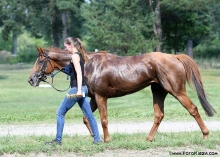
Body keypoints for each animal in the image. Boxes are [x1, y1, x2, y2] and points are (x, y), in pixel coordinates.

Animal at [28, 46, 216, 142]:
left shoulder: (101, 97)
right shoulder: (94, 98)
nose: (31, 79)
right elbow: (86, 119)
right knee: (159, 115)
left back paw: (205, 135)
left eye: (40, 60)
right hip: (158, 91)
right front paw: (95, 137)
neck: (88, 65)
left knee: (193, 109)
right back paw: (148, 139)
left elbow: (103, 120)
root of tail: (174, 57)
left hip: (176, 91)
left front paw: (106, 140)